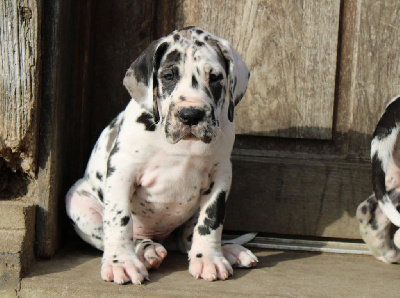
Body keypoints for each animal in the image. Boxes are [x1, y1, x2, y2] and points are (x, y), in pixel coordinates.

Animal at [65, 27, 258, 284]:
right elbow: (119, 219)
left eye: (215, 77)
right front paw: (120, 262)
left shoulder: (221, 174)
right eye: (168, 76)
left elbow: (211, 220)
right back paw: (145, 251)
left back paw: (227, 250)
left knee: (187, 239)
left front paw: (209, 258)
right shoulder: (121, 169)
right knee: (126, 235)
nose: (191, 115)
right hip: (76, 200)